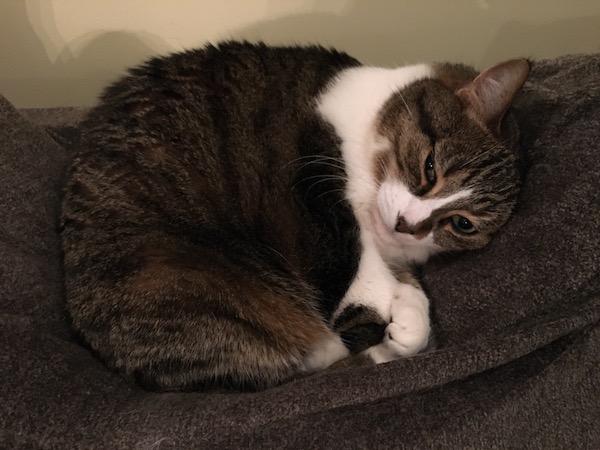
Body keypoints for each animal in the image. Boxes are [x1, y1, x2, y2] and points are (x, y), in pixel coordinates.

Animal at [61, 43, 528, 394]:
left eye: (463, 224)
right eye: (430, 168)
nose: (406, 225)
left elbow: (405, 287)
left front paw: (410, 314)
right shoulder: (318, 194)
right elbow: (363, 276)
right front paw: (400, 322)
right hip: (185, 278)